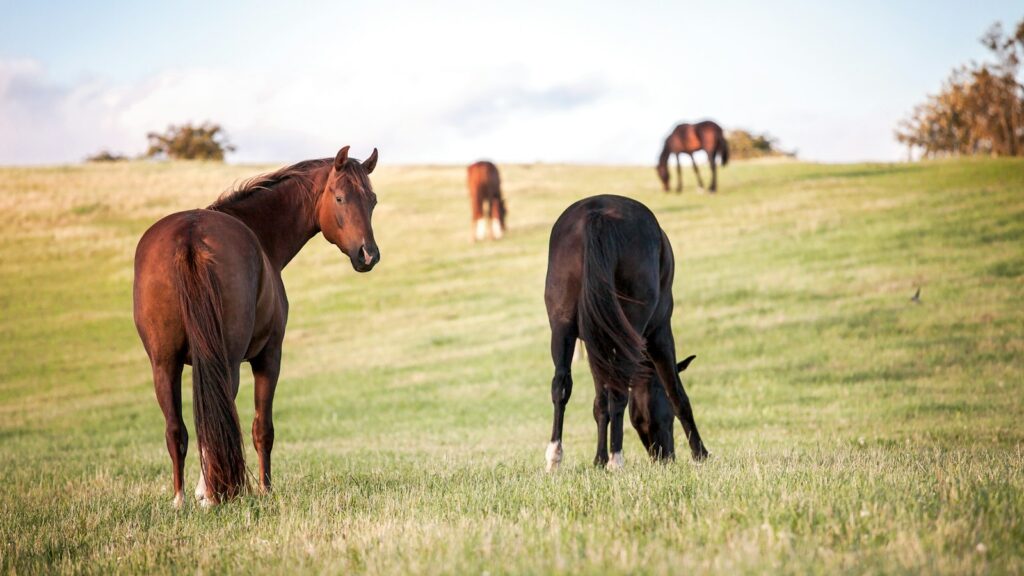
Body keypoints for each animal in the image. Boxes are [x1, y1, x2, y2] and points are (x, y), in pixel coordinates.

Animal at [133, 146, 380, 507]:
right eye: (340, 198)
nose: (368, 254)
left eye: (372, 200)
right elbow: (262, 429)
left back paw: (182, 499)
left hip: (163, 364)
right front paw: (263, 489)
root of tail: (190, 236)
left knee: (176, 429)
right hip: (228, 361)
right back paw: (212, 494)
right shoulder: (269, 356)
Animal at [544, 194, 708, 471]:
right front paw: (700, 454)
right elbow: (677, 393)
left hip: (562, 326)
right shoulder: (660, 333)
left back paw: (555, 457)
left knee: (561, 385)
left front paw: (598, 460)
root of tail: (597, 214)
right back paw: (616, 459)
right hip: (636, 327)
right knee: (620, 391)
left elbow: (600, 403)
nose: (666, 456)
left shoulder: (595, 345)